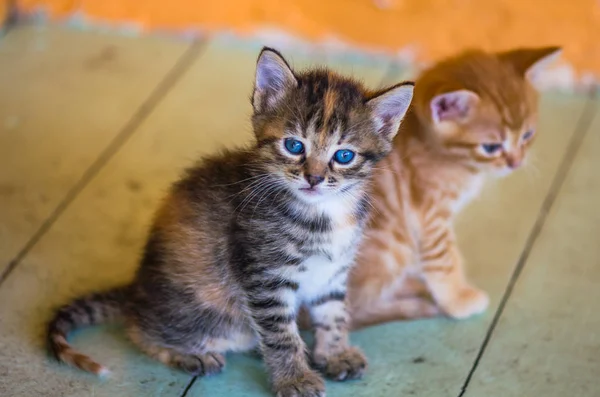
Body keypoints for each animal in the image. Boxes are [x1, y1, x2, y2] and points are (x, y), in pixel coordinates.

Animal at [47, 47, 414, 396]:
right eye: (294, 146)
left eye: (344, 155)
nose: (314, 178)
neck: (324, 213)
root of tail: (135, 288)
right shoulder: (265, 277)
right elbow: (282, 335)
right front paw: (294, 379)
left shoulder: (332, 271)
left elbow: (334, 314)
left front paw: (335, 354)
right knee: (139, 328)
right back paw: (189, 354)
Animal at [350, 44, 560, 326]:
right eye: (491, 147)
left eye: (527, 135)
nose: (516, 163)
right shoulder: (428, 216)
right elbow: (444, 259)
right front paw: (458, 299)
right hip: (389, 250)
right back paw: (415, 305)